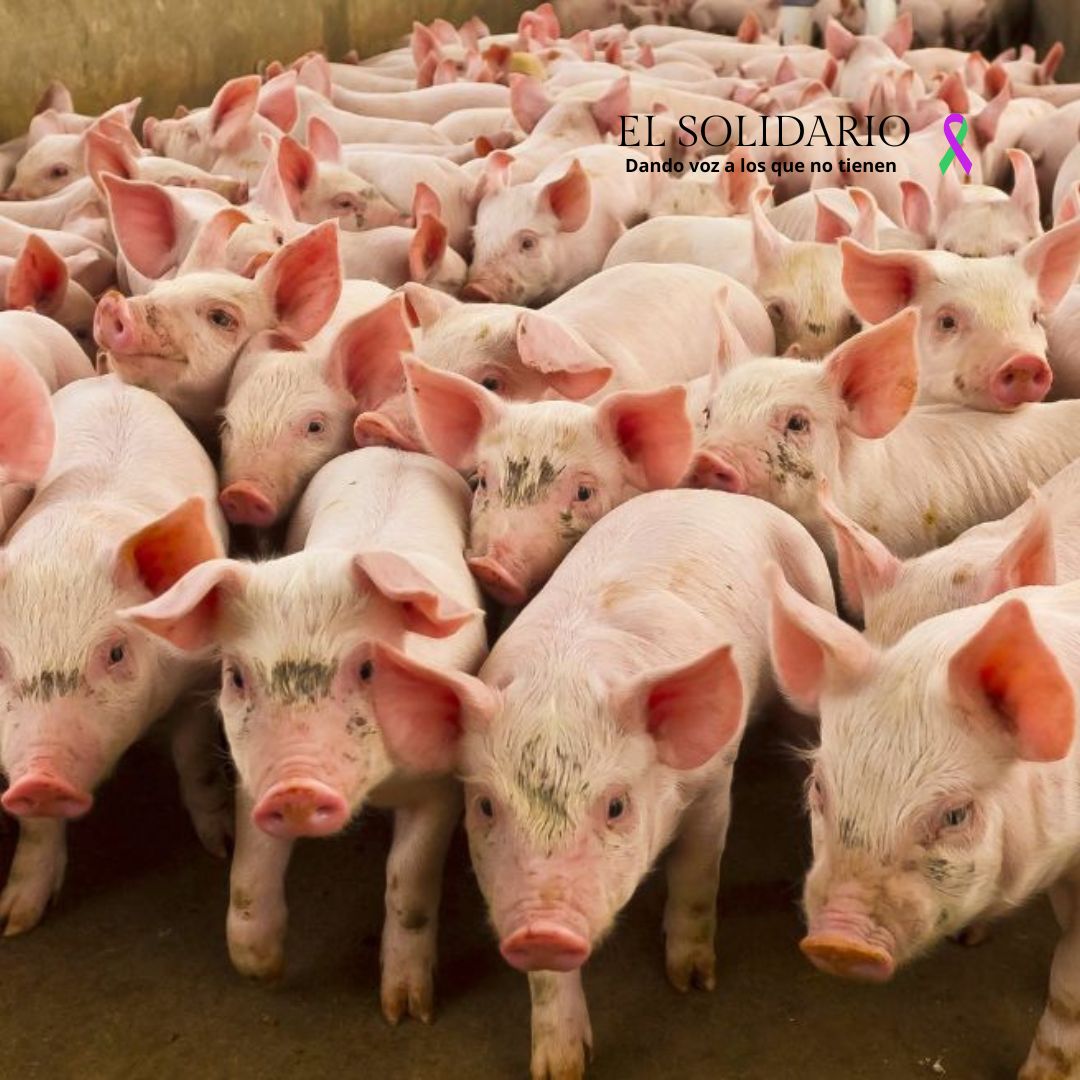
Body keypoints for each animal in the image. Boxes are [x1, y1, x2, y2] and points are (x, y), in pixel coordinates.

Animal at [0, 375, 229, 934]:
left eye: (117, 653)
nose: (41, 777)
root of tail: (112, 380)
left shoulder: (197, 676)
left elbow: (193, 757)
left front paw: (222, 847)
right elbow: (37, 829)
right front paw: (15, 921)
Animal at [120, 448, 486, 1022]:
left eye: (368, 669)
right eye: (236, 676)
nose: (296, 787)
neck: (377, 792)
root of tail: (394, 451)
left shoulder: (441, 786)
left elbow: (408, 886)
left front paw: (406, 1012)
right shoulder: (252, 778)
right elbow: (249, 875)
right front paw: (261, 973)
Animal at [366, 487, 835, 1079]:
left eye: (616, 806)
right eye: (486, 807)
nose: (542, 929)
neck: (563, 683)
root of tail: (717, 494)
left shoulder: (712, 781)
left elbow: (697, 875)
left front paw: (692, 981)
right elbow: (547, 981)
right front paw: (559, 1067)